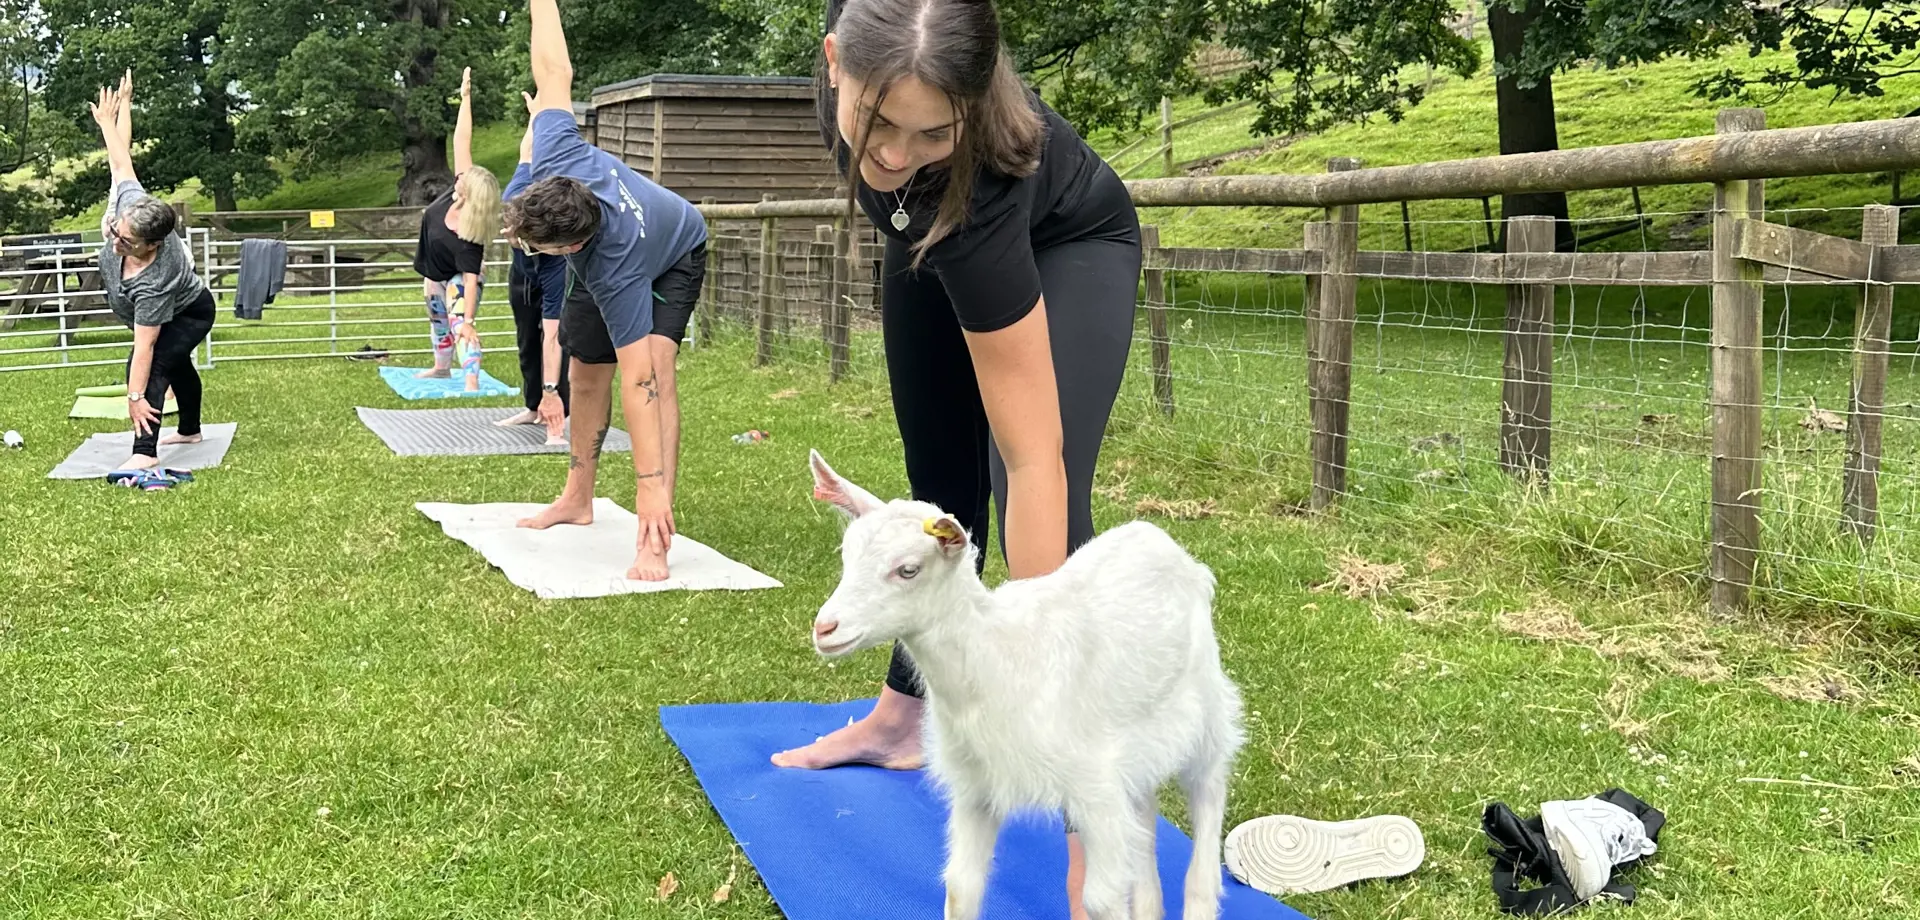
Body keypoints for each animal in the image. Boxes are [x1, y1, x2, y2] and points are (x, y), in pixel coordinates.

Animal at [798, 453, 1236, 920]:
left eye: (908, 570)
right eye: (847, 557)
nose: (825, 629)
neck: (994, 659)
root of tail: (1162, 542)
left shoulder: (1094, 785)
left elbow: (1100, 899)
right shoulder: (976, 787)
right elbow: (961, 885)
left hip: (1207, 716)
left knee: (1207, 809)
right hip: (1142, 752)